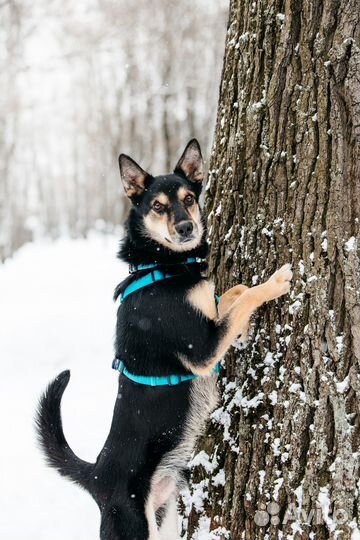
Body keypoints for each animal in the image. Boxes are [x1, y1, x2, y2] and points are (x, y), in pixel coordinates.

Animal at [35, 140, 292, 540]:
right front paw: (275, 282)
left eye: (188, 198)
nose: (187, 227)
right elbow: (246, 295)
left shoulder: (208, 320)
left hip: (165, 516)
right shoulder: (202, 350)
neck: (158, 267)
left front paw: (239, 317)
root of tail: (97, 476)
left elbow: (229, 295)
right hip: (137, 527)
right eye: (157, 206)